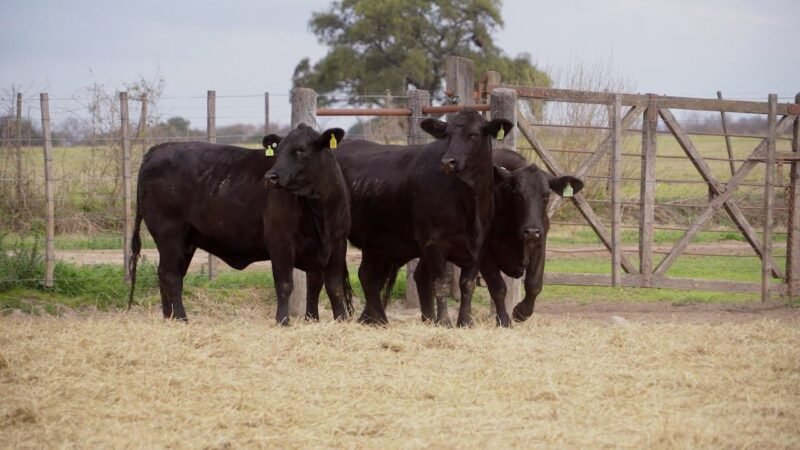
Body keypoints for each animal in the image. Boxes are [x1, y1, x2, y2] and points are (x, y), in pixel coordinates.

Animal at [127, 124, 353, 326]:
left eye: (301, 149)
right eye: (277, 151)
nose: (271, 177)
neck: (320, 211)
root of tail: (159, 149)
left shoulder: (337, 244)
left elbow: (329, 286)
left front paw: (331, 319)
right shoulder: (281, 243)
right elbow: (285, 284)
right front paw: (283, 321)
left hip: (186, 241)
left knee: (167, 274)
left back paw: (169, 317)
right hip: (169, 235)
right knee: (170, 275)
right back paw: (181, 318)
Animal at [325, 109, 513, 327]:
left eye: (473, 134)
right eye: (447, 135)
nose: (448, 162)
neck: (469, 204)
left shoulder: (479, 245)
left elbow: (467, 284)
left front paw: (465, 322)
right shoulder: (433, 241)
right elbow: (439, 282)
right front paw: (444, 321)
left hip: (376, 240)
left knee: (367, 276)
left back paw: (377, 319)